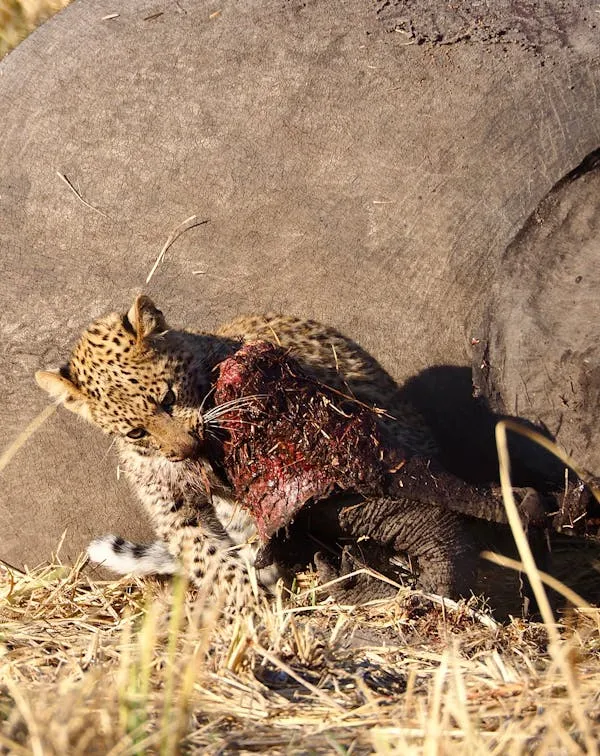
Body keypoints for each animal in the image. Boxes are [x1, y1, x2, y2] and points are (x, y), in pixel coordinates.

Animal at [35, 294, 439, 607]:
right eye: (136, 431)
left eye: (168, 399)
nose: (185, 450)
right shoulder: (172, 504)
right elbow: (206, 555)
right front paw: (248, 599)